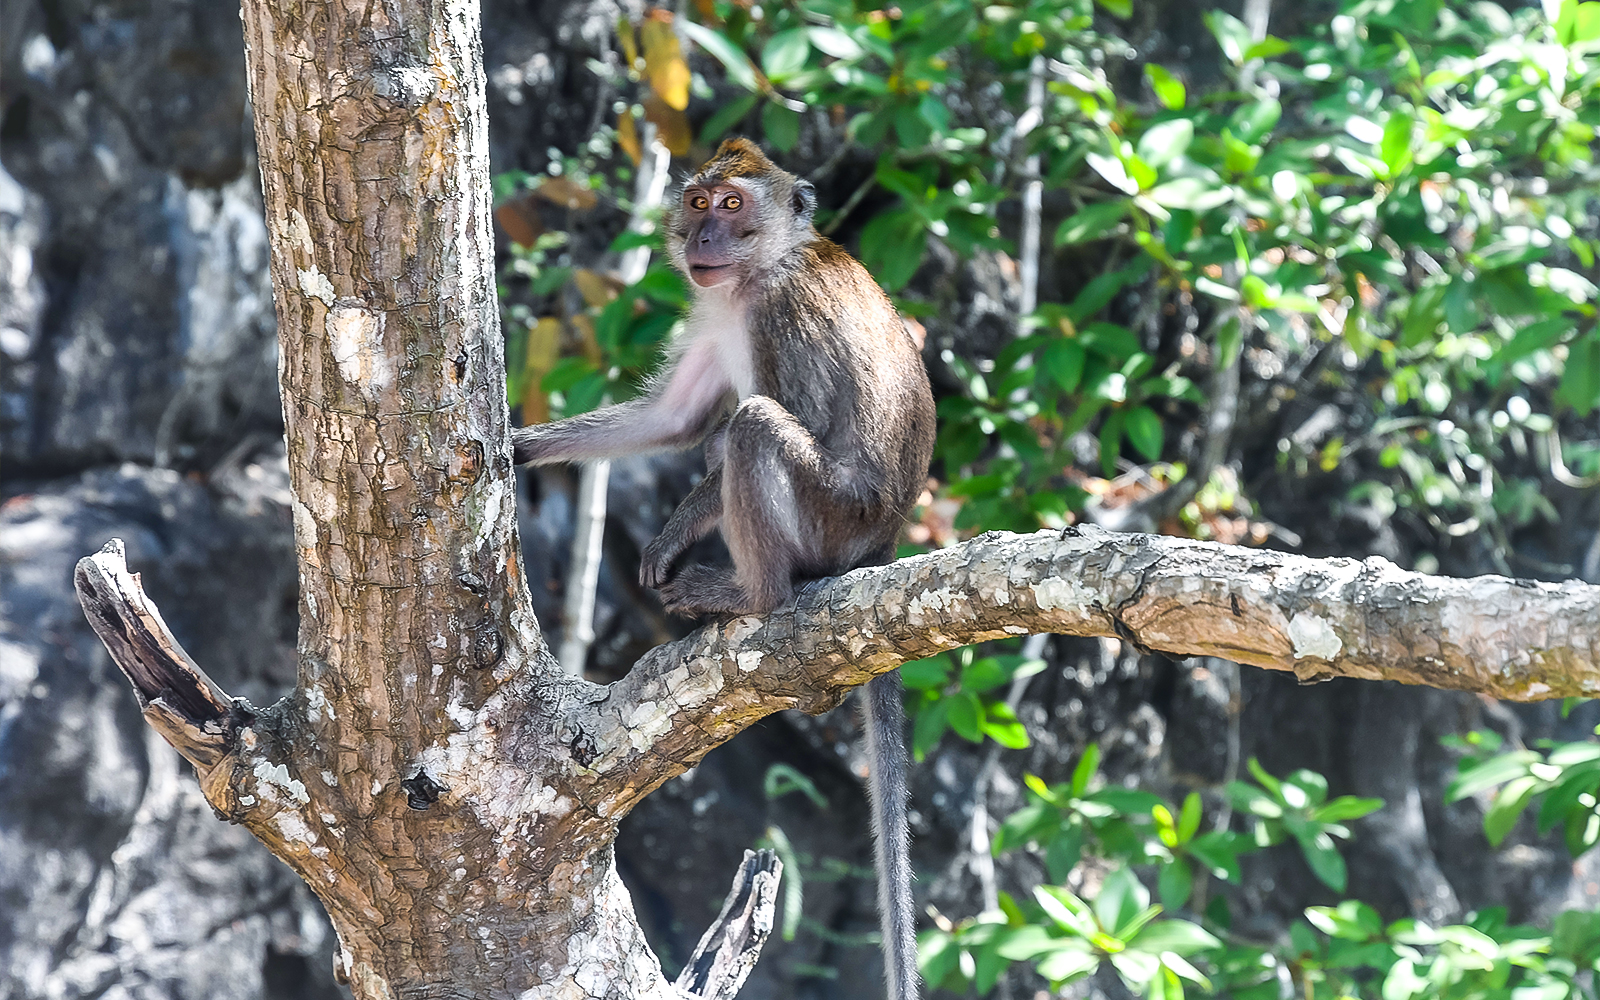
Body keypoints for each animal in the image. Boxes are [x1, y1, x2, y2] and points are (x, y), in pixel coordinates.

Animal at [511, 137, 935, 1000]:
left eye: (735, 205)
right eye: (700, 202)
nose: (704, 236)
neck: (758, 271)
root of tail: (884, 540)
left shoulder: (782, 315)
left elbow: (777, 419)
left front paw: (672, 534)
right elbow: (672, 419)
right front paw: (515, 445)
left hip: (833, 516)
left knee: (751, 428)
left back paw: (750, 592)